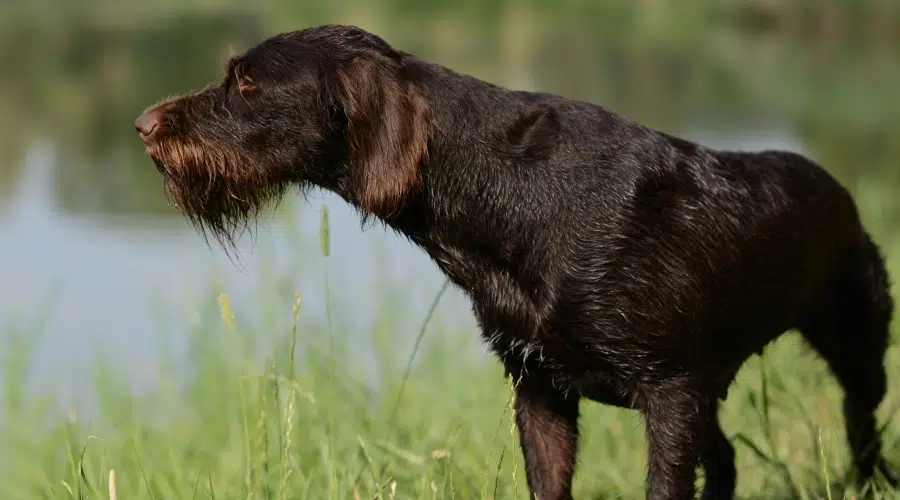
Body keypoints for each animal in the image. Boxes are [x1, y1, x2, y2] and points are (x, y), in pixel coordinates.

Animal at [137, 25, 896, 498]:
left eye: (247, 85)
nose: (143, 126)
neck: (505, 195)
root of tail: (842, 192)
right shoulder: (539, 391)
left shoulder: (669, 393)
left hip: (856, 351)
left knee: (861, 428)